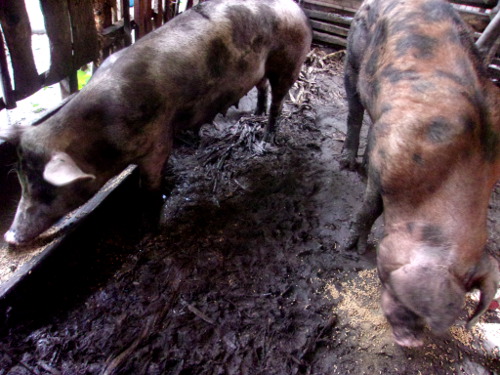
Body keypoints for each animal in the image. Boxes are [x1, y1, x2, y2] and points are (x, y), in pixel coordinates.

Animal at [0, 0, 312, 247]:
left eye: (47, 190)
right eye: (22, 183)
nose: (10, 237)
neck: (101, 132)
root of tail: (294, 7)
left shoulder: (157, 141)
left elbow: (149, 187)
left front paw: (146, 231)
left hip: (289, 60)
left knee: (278, 100)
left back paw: (268, 137)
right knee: (262, 87)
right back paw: (255, 113)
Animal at [342, 0, 500, 348]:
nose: (412, 341)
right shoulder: (388, 158)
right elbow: (370, 205)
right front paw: (352, 248)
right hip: (354, 50)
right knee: (354, 105)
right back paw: (347, 163)